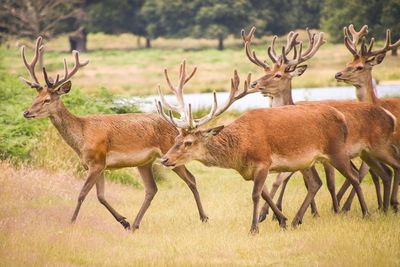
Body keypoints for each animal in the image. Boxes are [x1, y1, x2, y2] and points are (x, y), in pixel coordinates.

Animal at [20, 37, 209, 232]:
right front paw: (124, 221)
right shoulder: (98, 165)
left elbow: (82, 194)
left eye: (47, 100)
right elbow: (101, 196)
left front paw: (70, 222)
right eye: (35, 97)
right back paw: (135, 224)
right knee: (152, 189)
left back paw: (203, 217)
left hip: (170, 153)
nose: (26, 112)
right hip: (145, 162)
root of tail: (176, 127)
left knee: (191, 179)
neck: (81, 138)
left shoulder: (97, 161)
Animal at [156, 61, 368, 234]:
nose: (165, 159)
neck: (240, 150)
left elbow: (256, 195)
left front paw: (254, 228)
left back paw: (365, 213)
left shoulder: (263, 161)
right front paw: (282, 220)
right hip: (308, 161)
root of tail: (341, 117)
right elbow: (266, 194)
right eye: (176, 137)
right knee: (316, 183)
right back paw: (296, 221)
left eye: (188, 142)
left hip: (336, 150)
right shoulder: (251, 170)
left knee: (354, 175)